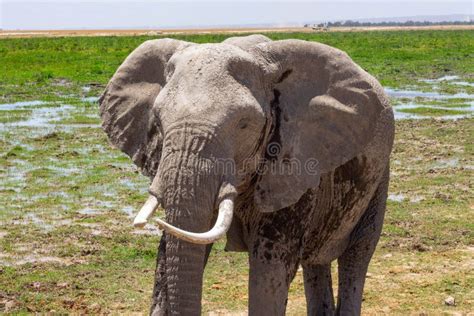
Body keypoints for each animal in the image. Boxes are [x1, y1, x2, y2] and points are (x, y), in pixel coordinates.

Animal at [100, 33, 396, 314]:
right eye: (159, 122)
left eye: (244, 124)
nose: (158, 222)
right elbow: (180, 247)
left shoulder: (294, 161)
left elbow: (270, 269)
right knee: (315, 260)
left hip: (380, 172)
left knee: (358, 252)